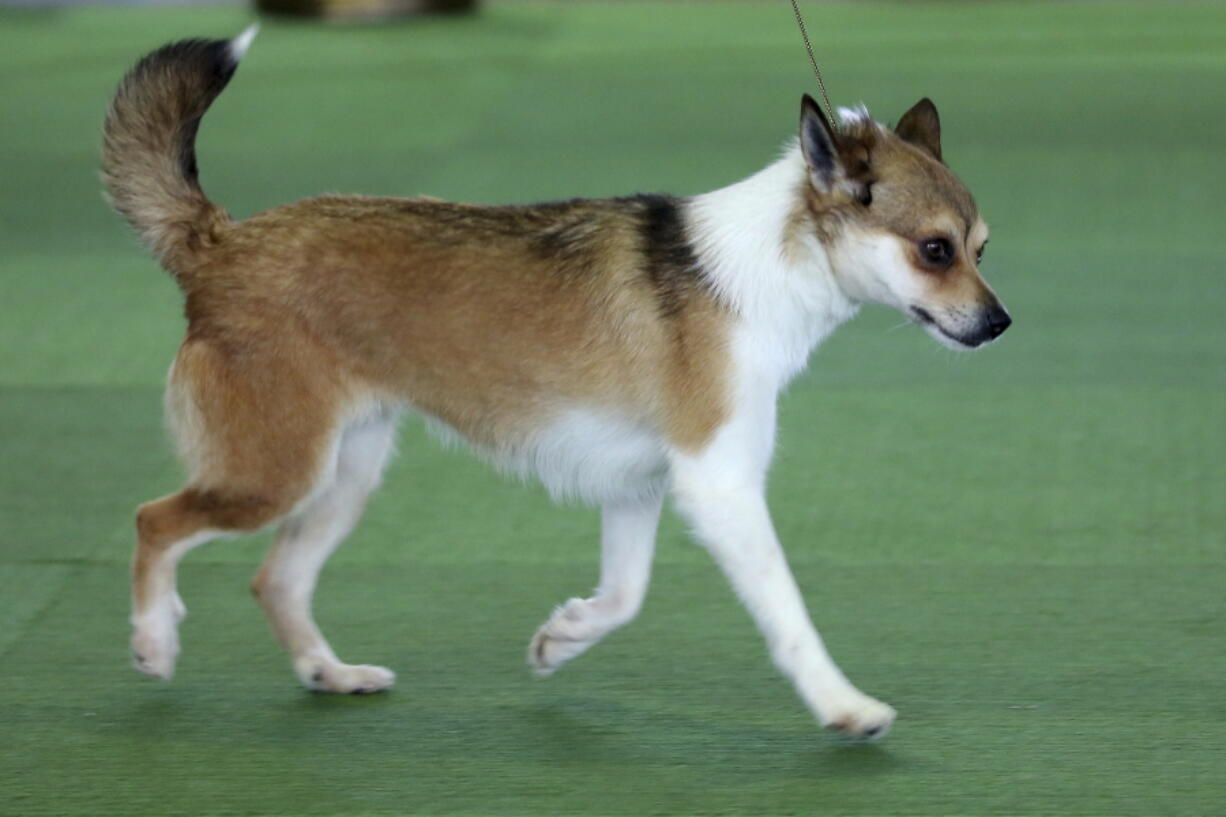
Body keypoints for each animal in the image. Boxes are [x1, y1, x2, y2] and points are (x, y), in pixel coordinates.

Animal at [102, 26, 1005, 736]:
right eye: (934, 250)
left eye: (981, 247)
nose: (998, 324)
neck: (766, 267)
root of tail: (219, 243)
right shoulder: (721, 485)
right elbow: (788, 615)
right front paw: (845, 706)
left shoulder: (640, 486)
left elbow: (624, 595)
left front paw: (561, 637)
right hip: (274, 472)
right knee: (154, 520)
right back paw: (152, 642)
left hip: (343, 474)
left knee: (276, 578)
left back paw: (332, 673)